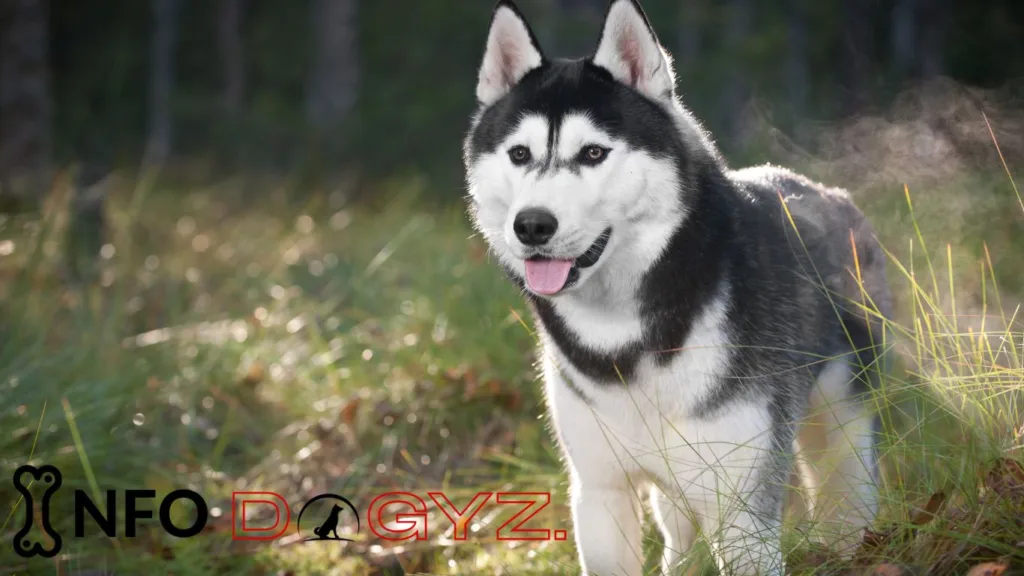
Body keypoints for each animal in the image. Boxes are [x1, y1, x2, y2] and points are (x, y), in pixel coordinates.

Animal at [460, 2, 892, 569]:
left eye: (593, 153)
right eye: (519, 154)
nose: (531, 225)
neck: (625, 338)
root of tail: (830, 193)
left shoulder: (743, 508)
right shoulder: (601, 493)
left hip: (841, 432)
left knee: (847, 495)